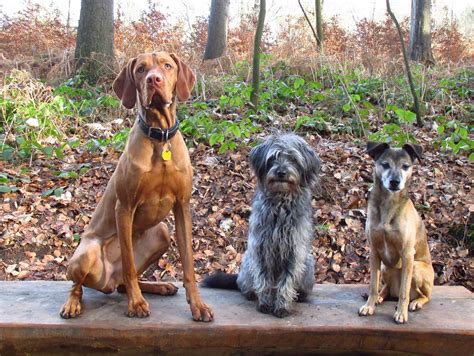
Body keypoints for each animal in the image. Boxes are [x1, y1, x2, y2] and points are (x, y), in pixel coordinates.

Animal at [59, 52, 213, 322]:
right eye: (141, 69)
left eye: (167, 66)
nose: (154, 80)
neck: (159, 136)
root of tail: (107, 281)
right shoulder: (124, 207)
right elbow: (129, 265)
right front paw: (136, 304)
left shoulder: (182, 206)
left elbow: (189, 266)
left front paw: (198, 305)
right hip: (87, 253)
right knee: (81, 284)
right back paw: (72, 303)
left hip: (161, 232)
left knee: (121, 283)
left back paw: (160, 286)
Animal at [202, 134, 320, 318]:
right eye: (272, 158)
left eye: (293, 159)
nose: (281, 172)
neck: (280, 204)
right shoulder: (260, 249)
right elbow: (263, 279)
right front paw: (264, 303)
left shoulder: (294, 254)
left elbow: (286, 282)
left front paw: (282, 306)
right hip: (247, 264)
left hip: (307, 266)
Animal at [360, 141, 434, 322]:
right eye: (385, 164)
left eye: (405, 166)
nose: (395, 182)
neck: (388, 204)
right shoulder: (374, 252)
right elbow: (373, 285)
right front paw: (369, 305)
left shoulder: (407, 254)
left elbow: (404, 291)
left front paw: (401, 312)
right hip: (386, 268)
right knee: (385, 287)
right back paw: (380, 297)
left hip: (416, 268)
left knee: (425, 295)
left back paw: (416, 303)